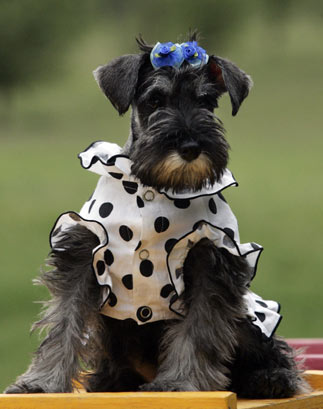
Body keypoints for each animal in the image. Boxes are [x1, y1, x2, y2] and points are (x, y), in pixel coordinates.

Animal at [4, 33, 308, 396]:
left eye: (207, 101)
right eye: (155, 99)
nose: (191, 147)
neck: (156, 187)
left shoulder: (210, 263)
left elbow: (199, 330)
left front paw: (178, 382)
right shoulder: (82, 254)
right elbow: (64, 320)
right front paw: (41, 384)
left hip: (250, 318)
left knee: (271, 349)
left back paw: (271, 378)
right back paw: (108, 381)